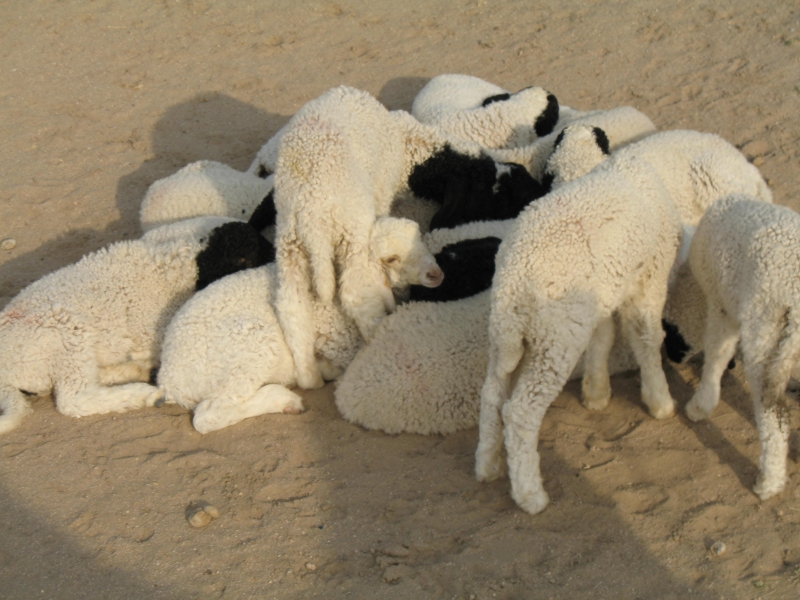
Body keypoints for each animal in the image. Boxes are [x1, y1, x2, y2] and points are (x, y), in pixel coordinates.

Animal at [0, 216, 274, 436]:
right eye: (246, 257)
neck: (183, 266)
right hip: (65, 331)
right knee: (74, 399)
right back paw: (142, 394)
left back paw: (138, 372)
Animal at [684, 197, 800, 502]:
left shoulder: (721, 304)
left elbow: (717, 352)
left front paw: (701, 405)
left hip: (766, 333)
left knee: (773, 415)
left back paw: (769, 481)